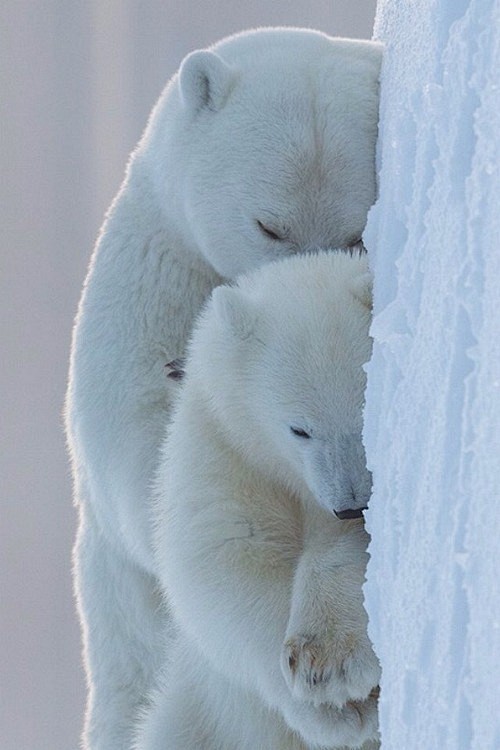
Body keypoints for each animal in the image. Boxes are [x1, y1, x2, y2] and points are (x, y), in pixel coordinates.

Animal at [137, 253, 378, 750]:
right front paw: (335, 706)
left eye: (367, 408)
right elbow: (226, 566)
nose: (351, 503)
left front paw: (336, 661)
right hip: (196, 716)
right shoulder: (224, 444)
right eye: (299, 429)